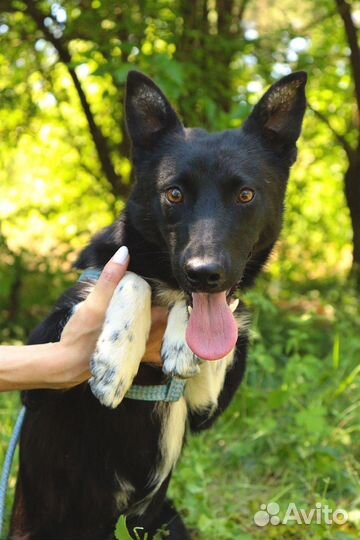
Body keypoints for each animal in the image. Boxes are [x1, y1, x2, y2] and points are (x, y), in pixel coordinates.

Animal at [9, 70, 306, 540]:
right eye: (174, 194)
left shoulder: (205, 408)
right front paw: (115, 358)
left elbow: (215, 335)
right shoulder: (41, 381)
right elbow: (129, 275)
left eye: (245, 195)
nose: (204, 273)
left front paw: (182, 340)